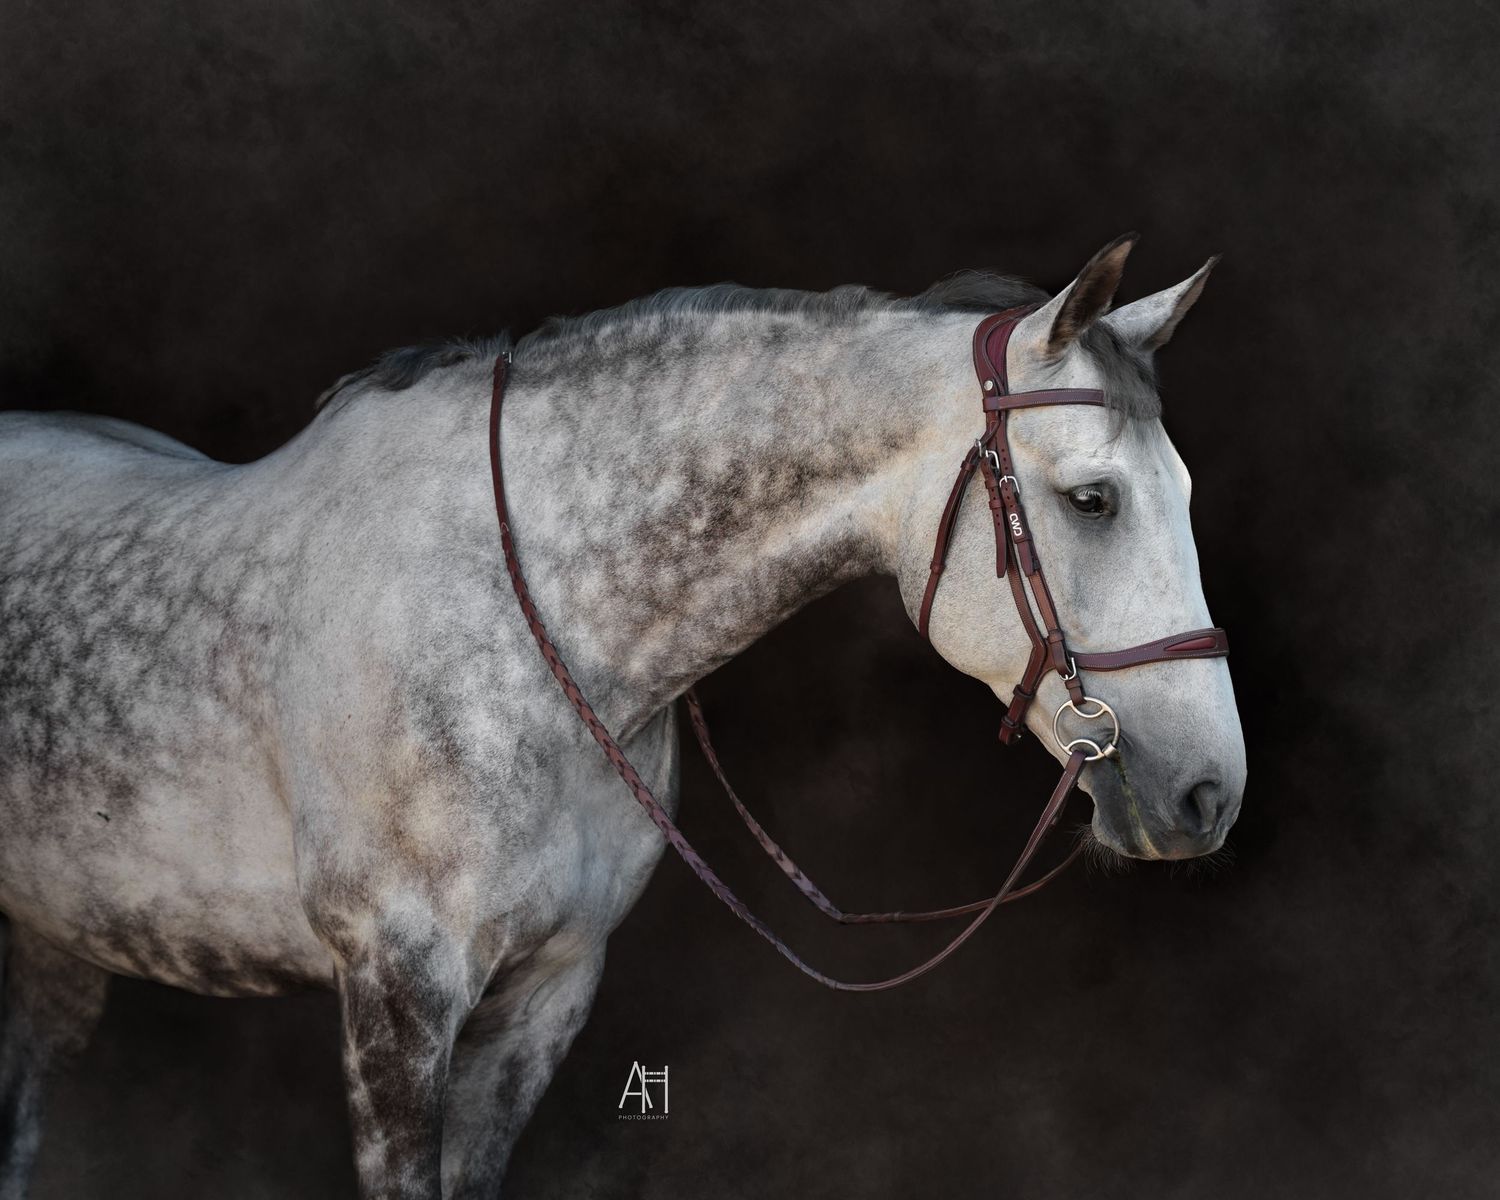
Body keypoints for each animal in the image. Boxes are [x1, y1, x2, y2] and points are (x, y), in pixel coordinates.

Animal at [0, 235, 1246, 1198]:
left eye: (1185, 493)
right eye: (1093, 500)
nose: (1208, 794)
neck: (523, 618)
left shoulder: (549, 987)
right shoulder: (396, 996)